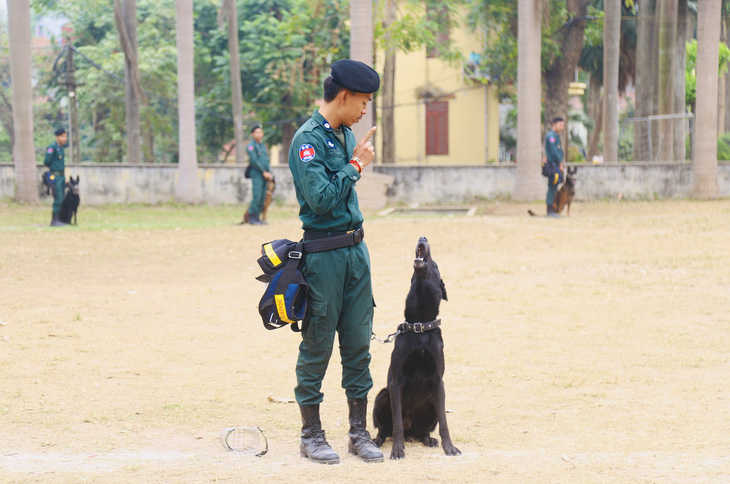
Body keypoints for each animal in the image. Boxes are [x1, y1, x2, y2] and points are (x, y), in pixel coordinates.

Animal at [372, 236, 458, 460]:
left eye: (435, 264)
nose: (423, 237)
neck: (420, 325)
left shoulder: (438, 382)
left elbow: (445, 424)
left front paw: (449, 447)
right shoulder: (396, 383)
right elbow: (397, 425)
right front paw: (397, 449)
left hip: (432, 404)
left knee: (423, 431)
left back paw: (428, 439)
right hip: (382, 396)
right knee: (386, 429)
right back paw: (377, 441)